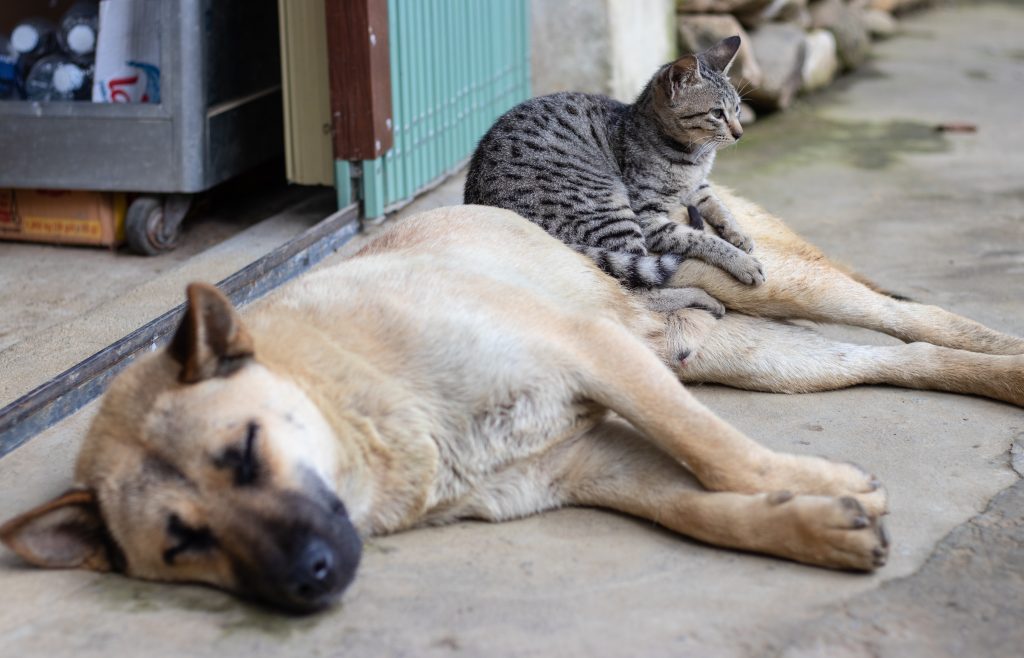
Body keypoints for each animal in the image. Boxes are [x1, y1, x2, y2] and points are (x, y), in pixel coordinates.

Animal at [468, 33, 765, 296]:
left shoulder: (699, 186)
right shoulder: (648, 217)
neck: (694, 158)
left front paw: (739, 234)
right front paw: (741, 261)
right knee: (640, 289)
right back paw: (700, 299)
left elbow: (719, 206)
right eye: (717, 113)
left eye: (737, 109)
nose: (740, 133)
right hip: (611, 210)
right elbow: (701, 238)